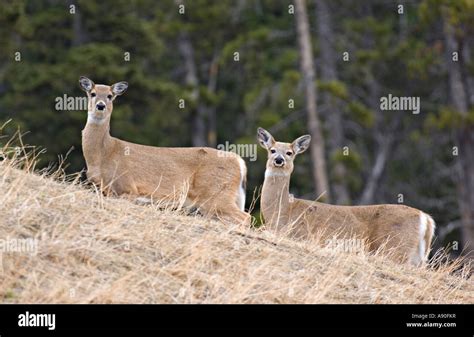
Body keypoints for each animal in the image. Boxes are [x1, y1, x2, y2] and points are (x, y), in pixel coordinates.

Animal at [78, 76, 250, 226]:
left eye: (110, 95)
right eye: (92, 93)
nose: (101, 106)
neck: (104, 153)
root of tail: (239, 162)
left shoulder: (127, 186)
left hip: (216, 194)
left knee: (245, 217)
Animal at [258, 126, 436, 266]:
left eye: (289, 152)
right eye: (272, 150)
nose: (279, 160)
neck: (283, 210)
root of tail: (426, 218)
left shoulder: (300, 235)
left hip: (395, 247)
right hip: (418, 256)